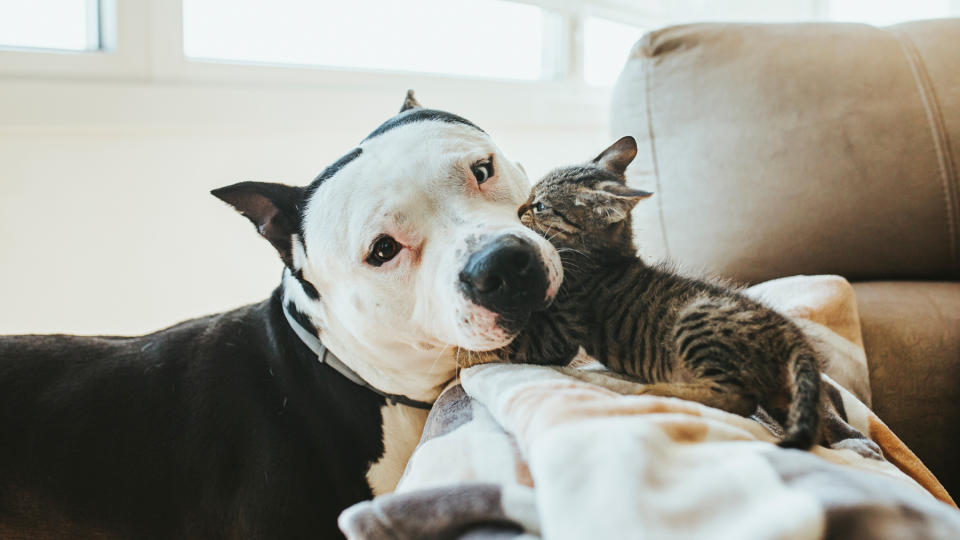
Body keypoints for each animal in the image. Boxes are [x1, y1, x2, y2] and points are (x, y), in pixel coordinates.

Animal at [468, 137, 820, 450]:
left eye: (540, 206)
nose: (518, 210)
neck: (602, 258)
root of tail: (791, 333)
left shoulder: (558, 337)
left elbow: (508, 344)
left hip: (696, 319)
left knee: (737, 399)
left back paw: (650, 389)